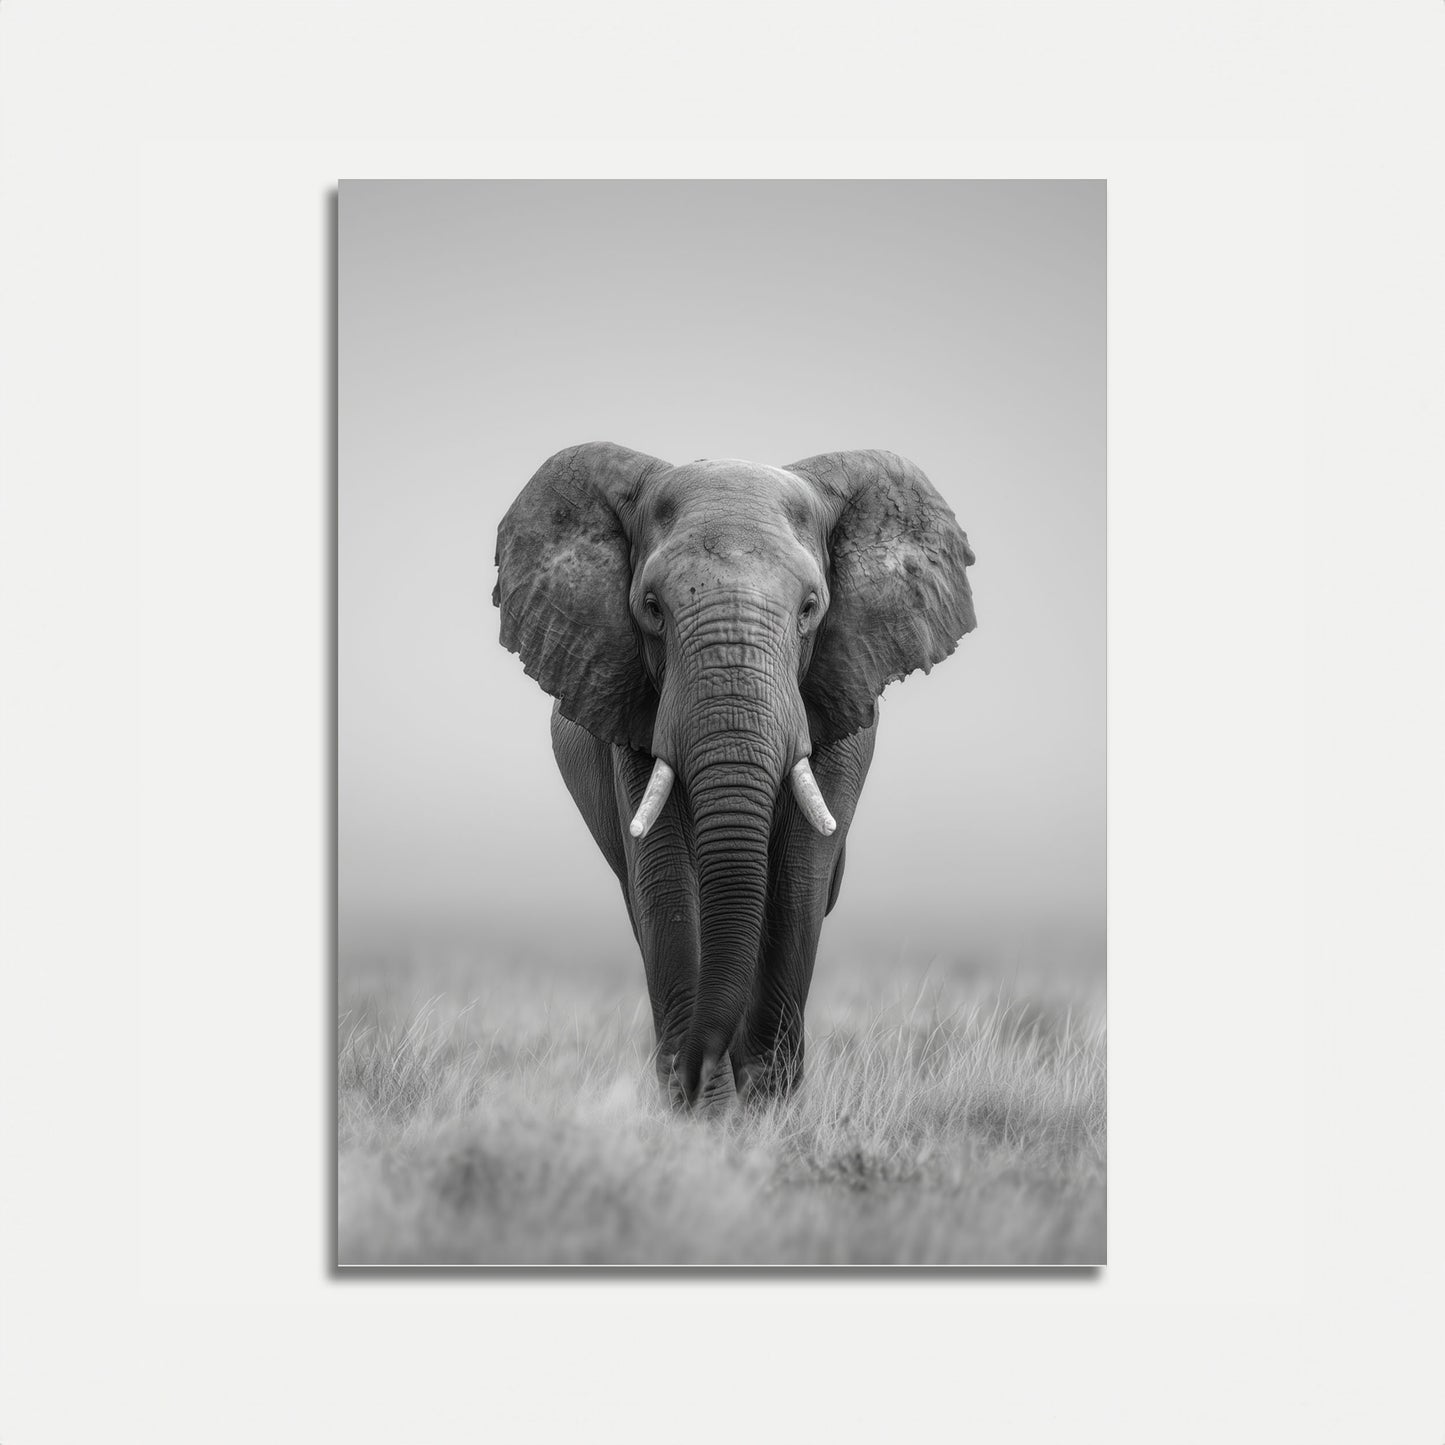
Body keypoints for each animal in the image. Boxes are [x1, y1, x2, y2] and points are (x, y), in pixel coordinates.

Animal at [494, 443, 976, 1113]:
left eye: (810, 608)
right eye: (651, 607)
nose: (696, 1073)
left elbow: (797, 877)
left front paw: (765, 1108)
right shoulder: (635, 711)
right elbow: (665, 879)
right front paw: (705, 1112)